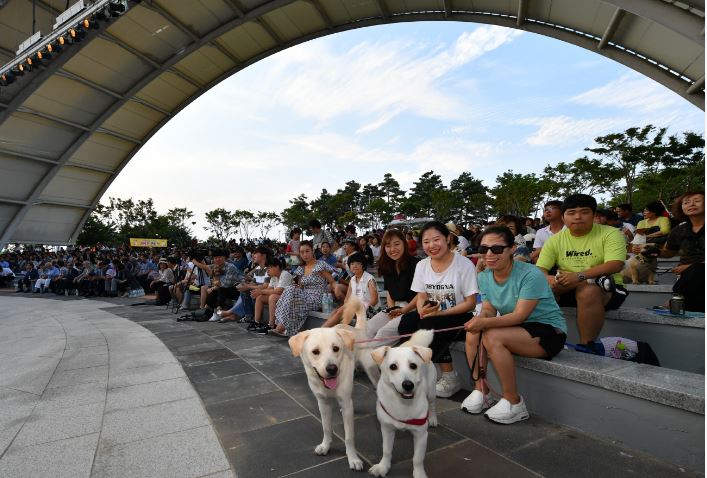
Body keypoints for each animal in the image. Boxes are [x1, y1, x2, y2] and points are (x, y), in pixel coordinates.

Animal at [288, 298, 378, 470]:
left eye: (336, 348)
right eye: (315, 352)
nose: (332, 369)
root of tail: (358, 330)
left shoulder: (345, 403)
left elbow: (349, 437)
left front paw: (353, 458)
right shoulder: (323, 403)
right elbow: (326, 427)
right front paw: (325, 446)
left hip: (372, 372)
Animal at [370, 328, 436, 478]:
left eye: (413, 366)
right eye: (393, 367)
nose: (408, 385)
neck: (403, 404)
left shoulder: (421, 435)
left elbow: (418, 458)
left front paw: (419, 474)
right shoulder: (387, 429)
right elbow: (386, 450)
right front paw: (383, 467)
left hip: (431, 392)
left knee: (433, 405)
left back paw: (433, 418)